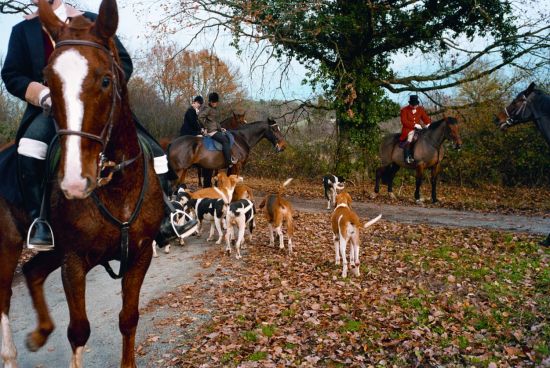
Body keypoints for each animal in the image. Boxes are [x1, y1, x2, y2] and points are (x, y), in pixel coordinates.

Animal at [0, 1, 164, 366]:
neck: (116, 187)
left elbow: (129, 318)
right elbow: (79, 331)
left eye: (105, 80)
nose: (75, 182)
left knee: (32, 271)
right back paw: (10, 353)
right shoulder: (74, 261)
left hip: (53, 250)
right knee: (3, 294)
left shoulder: (140, 254)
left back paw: (39, 334)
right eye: (48, 80)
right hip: (8, 244)